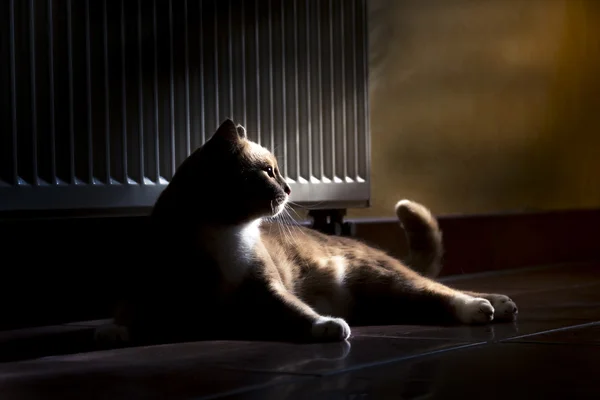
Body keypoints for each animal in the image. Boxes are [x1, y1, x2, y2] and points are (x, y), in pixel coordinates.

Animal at [96, 119, 516, 346]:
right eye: (268, 171)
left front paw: (325, 325)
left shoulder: (267, 285)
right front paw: (113, 333)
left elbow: (294, 308)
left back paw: (484, 306)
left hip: (379, 277)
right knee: (433, 291)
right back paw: (495, 303)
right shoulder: (152, 284)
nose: (288, 188)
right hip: (382, 295)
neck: (222, 232)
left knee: (439, 290)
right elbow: (131, 311)